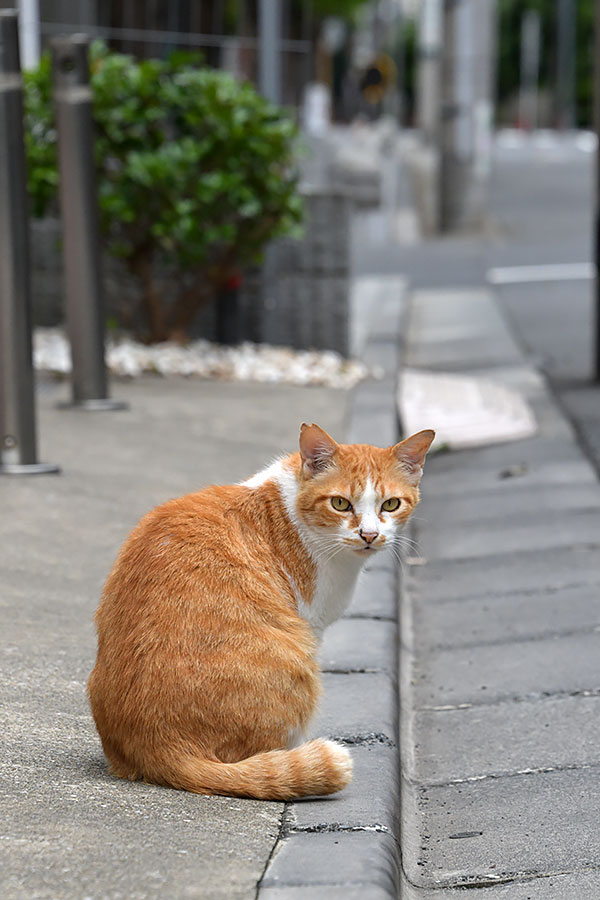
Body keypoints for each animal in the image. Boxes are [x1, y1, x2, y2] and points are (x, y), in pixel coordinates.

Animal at [88, 422, 432, 800]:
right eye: (341, 504)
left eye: (391, 504)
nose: (369, 535)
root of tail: (158, 747)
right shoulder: (312, 624)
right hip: (300, 660)